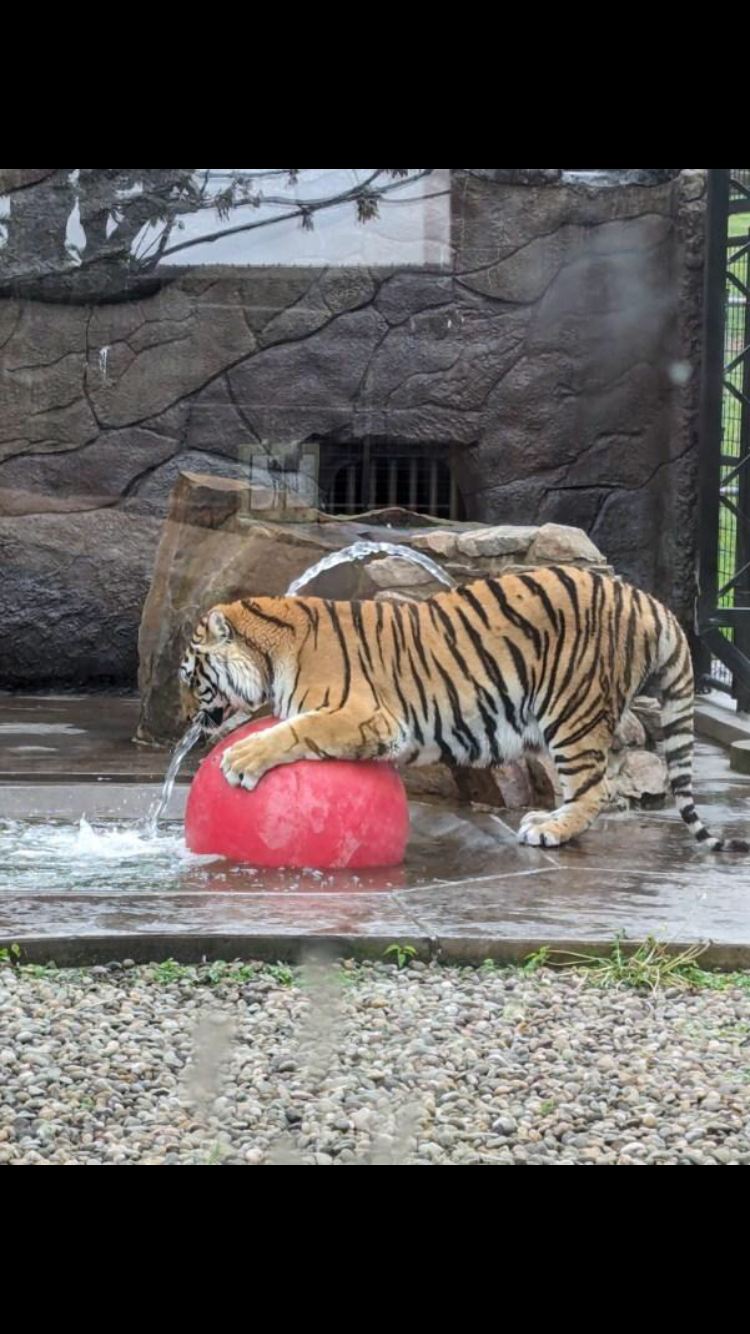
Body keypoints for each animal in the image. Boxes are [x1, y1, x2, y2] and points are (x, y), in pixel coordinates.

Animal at [179, 566, 748, 852]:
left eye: (190, 677)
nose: (186, 718)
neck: (274, 649)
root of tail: (647, 600)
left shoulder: (368, 716)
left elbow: (293, 732)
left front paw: (241, 761)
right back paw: (547, 816)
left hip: (573, 710)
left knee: (596, 789)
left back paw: (550, 831)